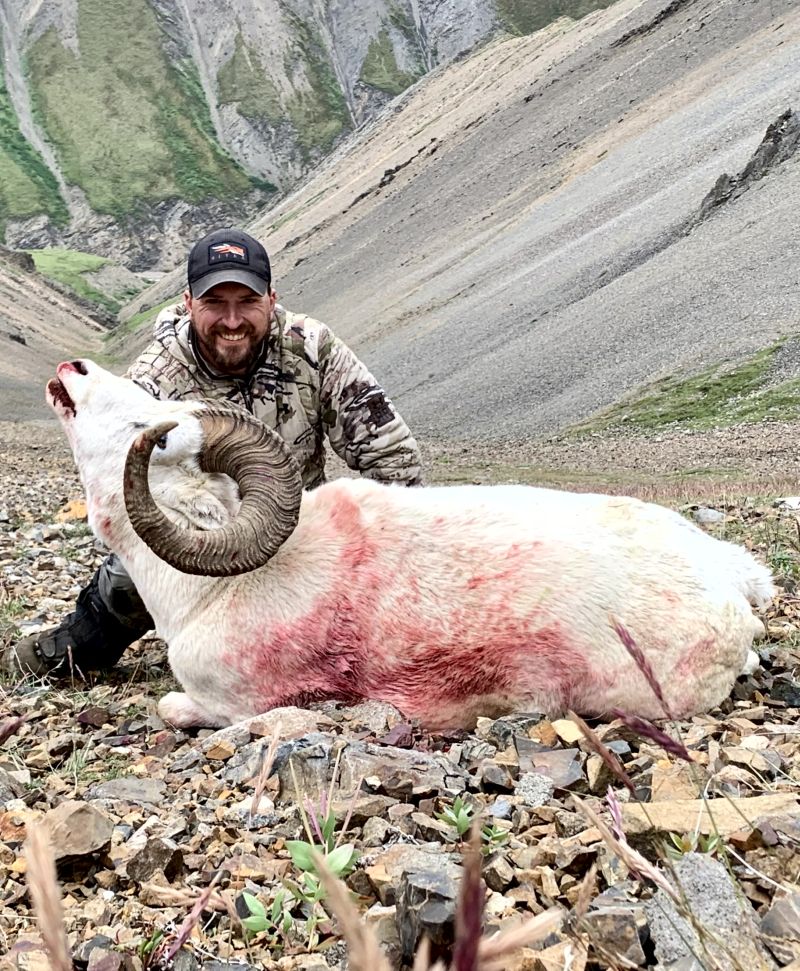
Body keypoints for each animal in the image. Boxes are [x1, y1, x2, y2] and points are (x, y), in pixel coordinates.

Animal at [45, 359, 775, 731]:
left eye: (150, 430)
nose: (73, 368)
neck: (215, 589)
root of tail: (729, 580)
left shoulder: (232, 703)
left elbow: (172, 707)